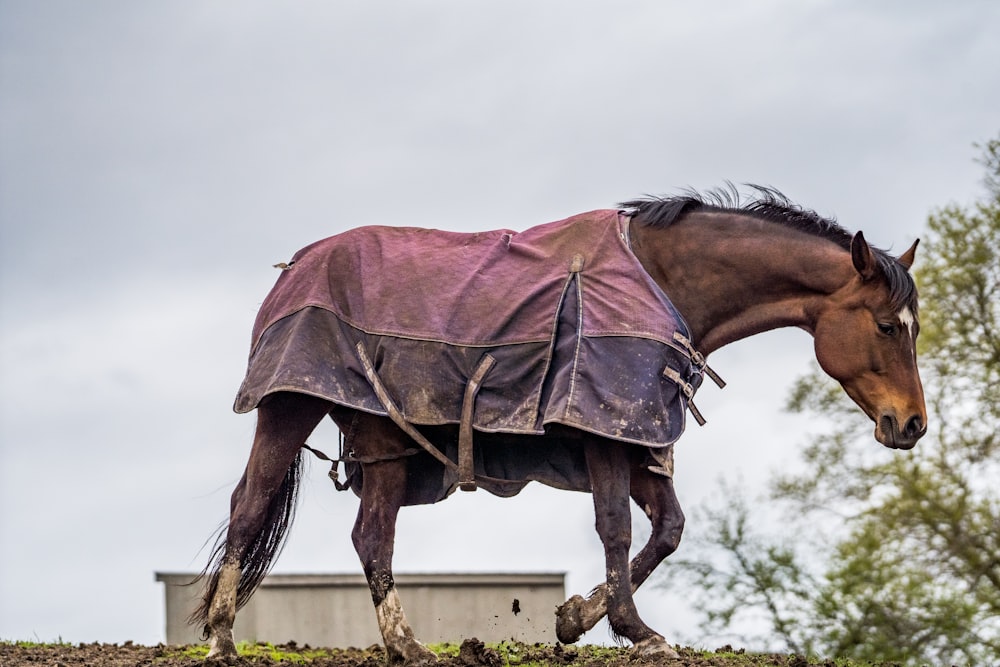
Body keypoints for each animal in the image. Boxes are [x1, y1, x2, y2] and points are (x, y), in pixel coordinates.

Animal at [191, 187, 924, 664]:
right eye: (888, 326)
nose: (912, 424)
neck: (663, 280)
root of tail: (297, 265)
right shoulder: (603, 429)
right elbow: (617, 527)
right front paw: (633, 630)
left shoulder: (637, 432)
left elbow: (668, 529)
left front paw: (578, 618)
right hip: (289, 406)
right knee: (251, 504)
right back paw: (223, 639)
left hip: (382, 438)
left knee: (371, 535)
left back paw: (406, 646)